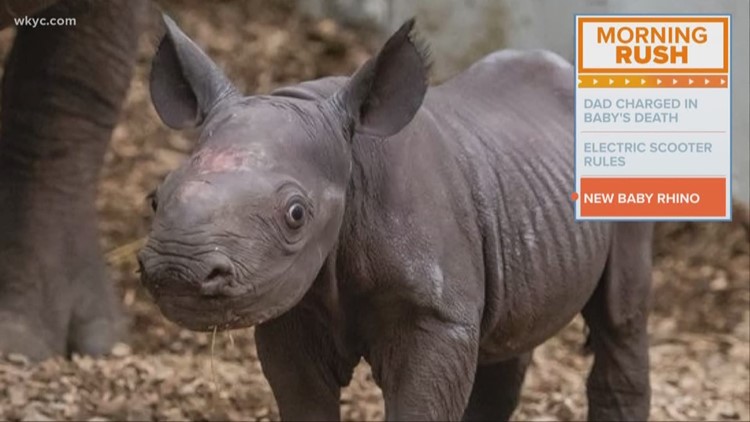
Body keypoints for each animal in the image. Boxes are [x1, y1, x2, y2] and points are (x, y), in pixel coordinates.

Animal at [138, 14, 656, 420]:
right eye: (155, 198)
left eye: (296, 214)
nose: (177, 269)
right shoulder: (293, 304)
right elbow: (304, 402)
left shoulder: (438, 317)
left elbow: (421, 405)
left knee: (621, 316)